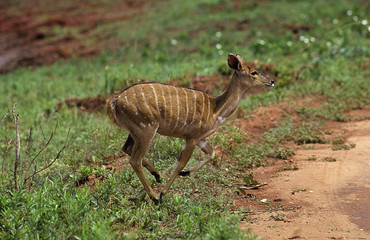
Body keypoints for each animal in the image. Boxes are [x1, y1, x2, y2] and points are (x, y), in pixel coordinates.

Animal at [105, 53, 274, 203]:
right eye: (253, 72)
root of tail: (113, 101)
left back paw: (157, 175)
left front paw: (185, 174)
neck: (216, 109)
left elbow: (211, 153)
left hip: (135, 130)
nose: (272, 81)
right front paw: (163, 194)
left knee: (126, 148)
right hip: (146, 129)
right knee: (135, 160)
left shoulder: (200, 138)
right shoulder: (192, 137)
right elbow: (181, 162)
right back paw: (154, 197)